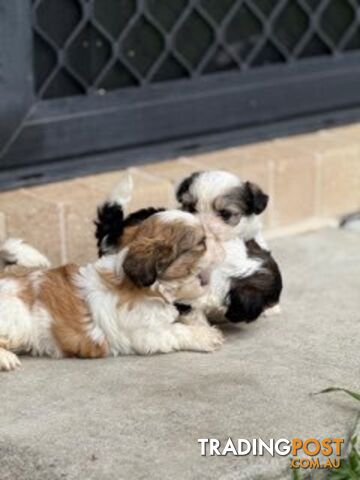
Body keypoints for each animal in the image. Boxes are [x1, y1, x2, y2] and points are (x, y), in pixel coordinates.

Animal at [0, 210, 224, 372]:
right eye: (202, 243)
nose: (221, 242)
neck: (153, 289)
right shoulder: (147, 334)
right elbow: (176, 330)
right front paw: (205, 335)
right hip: (18, 322)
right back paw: (6, 358)